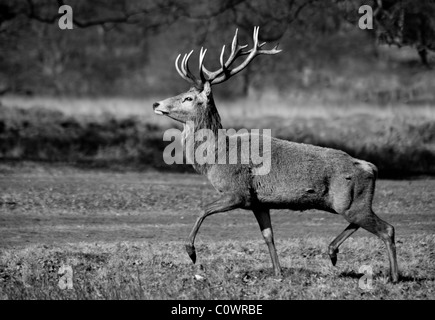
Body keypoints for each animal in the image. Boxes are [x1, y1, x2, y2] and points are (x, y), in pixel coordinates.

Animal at [154, 26, 402, 282]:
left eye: (188, 98)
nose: (156, 104)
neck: (215, 157)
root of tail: (371, 167)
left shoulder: (238, 192)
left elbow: (203, 209)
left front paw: (191, 252)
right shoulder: (258, 202)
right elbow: (268, 235)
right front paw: (277, 272)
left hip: (351, 201)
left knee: (387, 229)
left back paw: (393, 276)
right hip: (349, 203)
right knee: (367, 225)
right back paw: (332, 252)